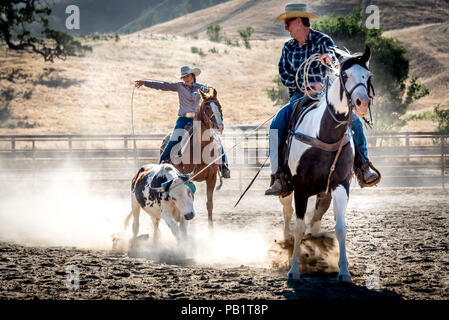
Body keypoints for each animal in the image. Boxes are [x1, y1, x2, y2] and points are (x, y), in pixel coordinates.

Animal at [161, 87, 224, 228]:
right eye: (207, 107)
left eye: (219, 105)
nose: (219, 126)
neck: (201, 148)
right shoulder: (188, 178)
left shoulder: (212, 178)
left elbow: (209, 205)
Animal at [282, 45, 372, 282]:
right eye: (345, 75)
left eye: (368, 75)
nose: (362, 103)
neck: (324, 133)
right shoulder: (300, 188)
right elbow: (298, 226)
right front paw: (294, 269)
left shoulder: (340, 185)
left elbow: (341, 228)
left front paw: (344, 271)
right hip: (286, 187)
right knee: (287, 212)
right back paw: (286, 240)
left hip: (325, 191)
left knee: (316, 216)